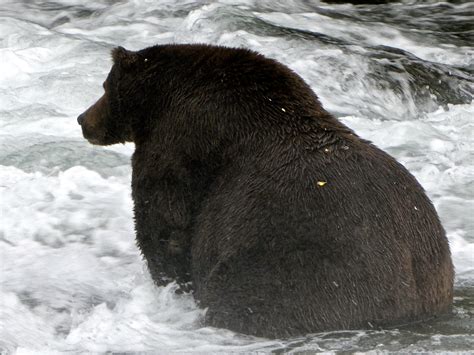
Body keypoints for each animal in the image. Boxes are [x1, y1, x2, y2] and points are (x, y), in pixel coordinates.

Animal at [78, 43, 456, 338]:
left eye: (104, 85)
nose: (83, 119)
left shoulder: (178, 145)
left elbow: (164, 223)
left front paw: (171, 286)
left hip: (297, 269)